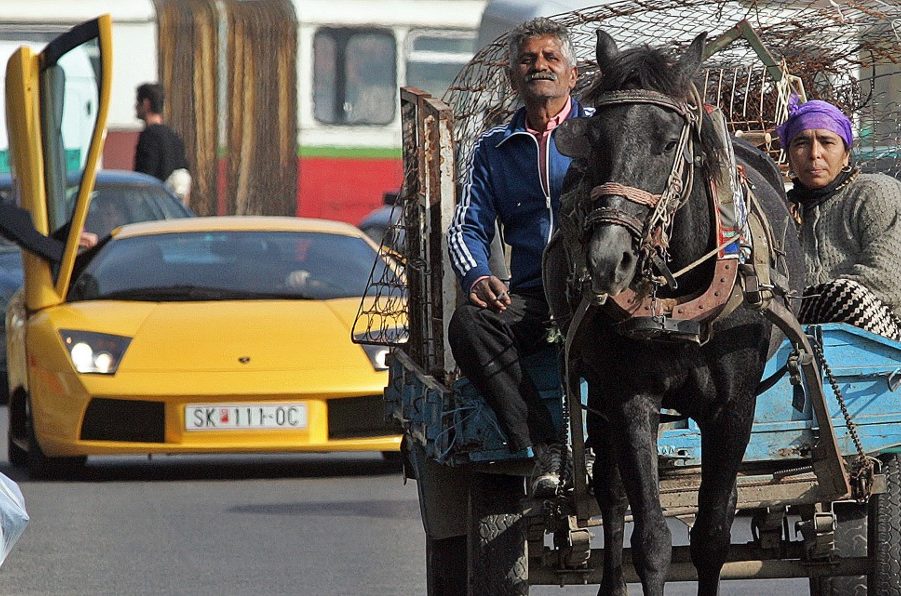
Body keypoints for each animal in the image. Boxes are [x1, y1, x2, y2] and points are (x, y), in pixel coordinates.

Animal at [544, 32, 804, 596]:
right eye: (595, 140)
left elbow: (711, 534)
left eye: (667, 142)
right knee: (611, 493)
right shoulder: (628, 398)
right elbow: (651, 539)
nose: (607, 259)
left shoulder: (734, 408)